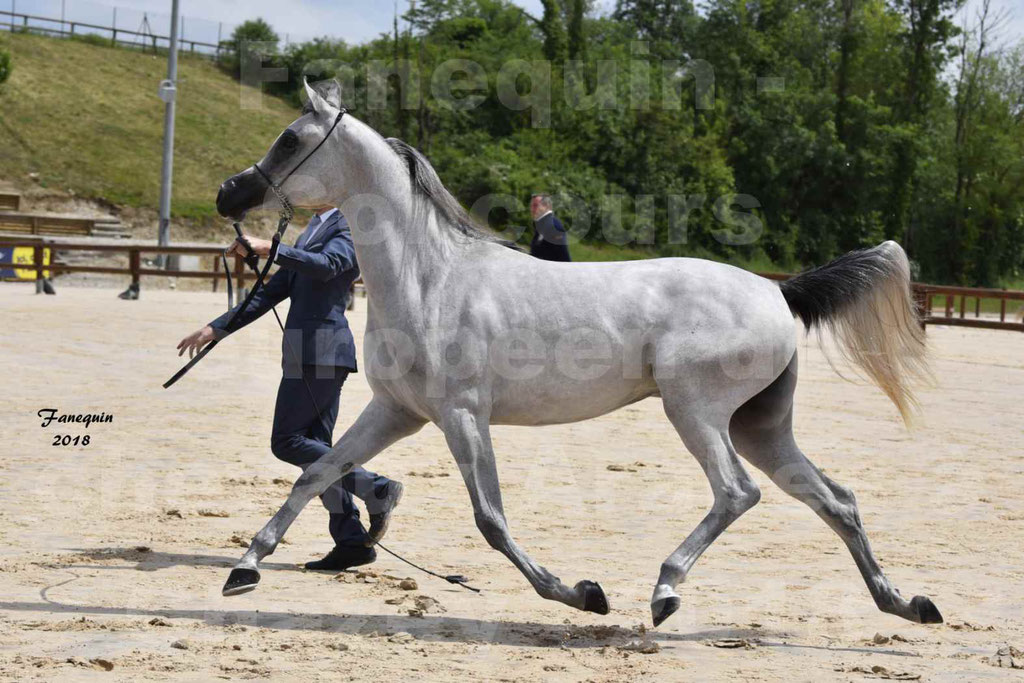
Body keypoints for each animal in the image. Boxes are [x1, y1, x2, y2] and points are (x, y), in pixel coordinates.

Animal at [214, 77, 942, 626]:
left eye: (290, 139)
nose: (229, 193)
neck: (431, 278)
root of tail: (778, 292)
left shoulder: (461, 416)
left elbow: (490, 519)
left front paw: (581, 593)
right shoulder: (397, 411)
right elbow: (316, 473)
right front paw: (245, 568)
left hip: (697, 412)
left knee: (738, 492)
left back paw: (666, 591)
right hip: (760, 424)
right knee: (834, 497)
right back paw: (905, 603)